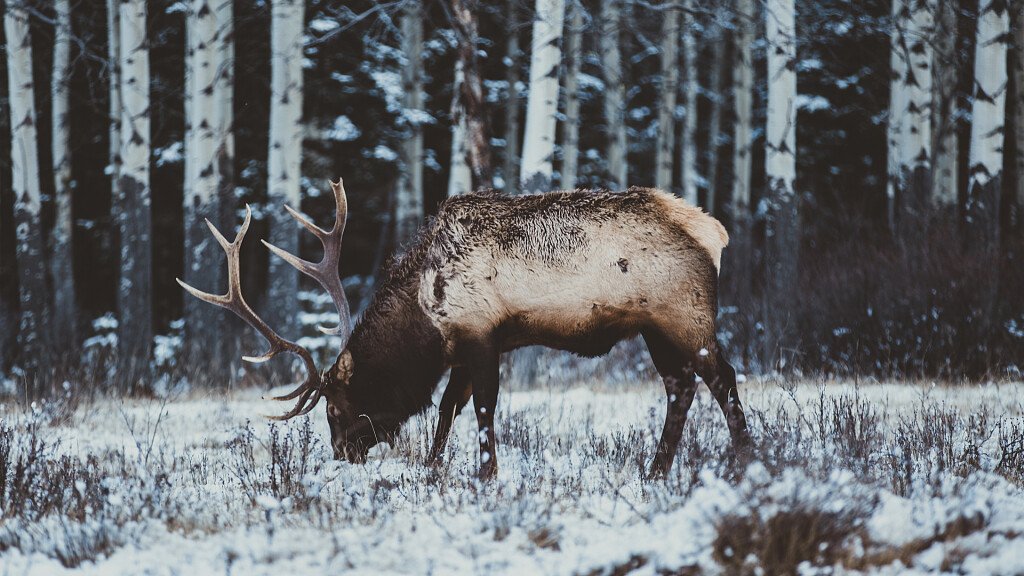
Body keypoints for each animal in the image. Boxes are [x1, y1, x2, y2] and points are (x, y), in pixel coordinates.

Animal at [179, 179, 750, 480]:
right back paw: (656, 470)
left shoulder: (482, 335)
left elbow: (481, 407)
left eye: (337, 408)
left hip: (686, 315)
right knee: (680, 386)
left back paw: (744, 458)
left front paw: (485, 472)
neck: (423, 317)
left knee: (722, 378)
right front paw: (434, 469)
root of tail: (716, 233)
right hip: (655, 328)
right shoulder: (462, 347)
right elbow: (448, 406)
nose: (342, 455)